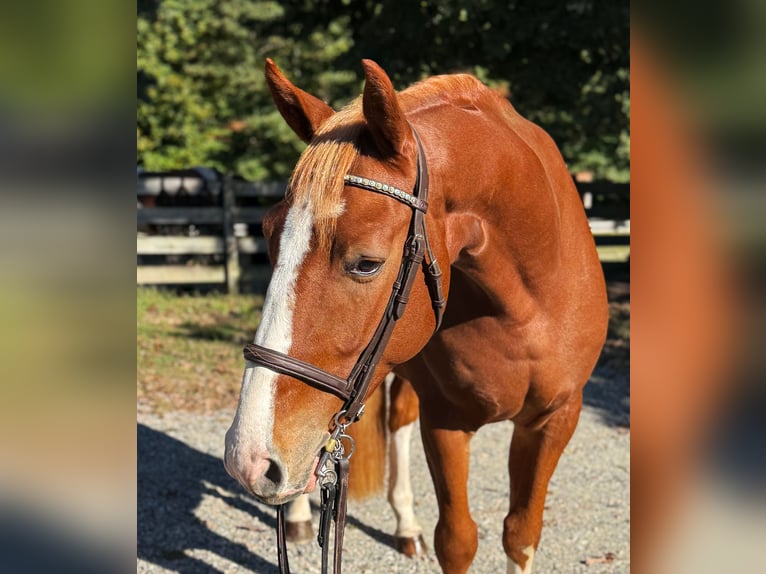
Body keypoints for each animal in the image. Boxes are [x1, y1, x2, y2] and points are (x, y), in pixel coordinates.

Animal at [224, 59, 608, 574]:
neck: (526, 308)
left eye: (366, 263)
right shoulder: (446, 421)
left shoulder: (554, 420)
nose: (247, 457)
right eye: (267, 236)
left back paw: (405, 524)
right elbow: (459, 540)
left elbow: (520, 534)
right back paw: (302, 516)